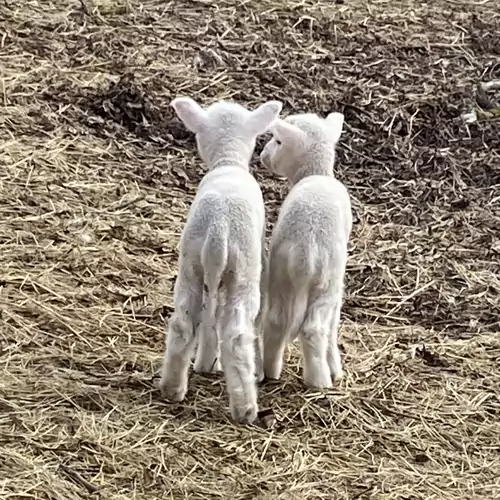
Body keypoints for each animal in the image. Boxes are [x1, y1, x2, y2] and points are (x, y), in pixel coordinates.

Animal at [160, 95, 282, 424]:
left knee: (183, 323)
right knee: (237, 336)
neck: (228, 161)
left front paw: (205, 363)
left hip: (190, 266)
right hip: (243, 274)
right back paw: (246, 408)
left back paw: (172, 389)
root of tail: (218, 231)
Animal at [258, 111, 352, 388]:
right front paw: (336, 369)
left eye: (278, 141)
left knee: (275, 320)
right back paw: (320, 380)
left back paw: (270, 370)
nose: (262, 155)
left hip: (279, 274)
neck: (315, 172)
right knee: (314, 329)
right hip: (326, 281)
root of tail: (305, 253)